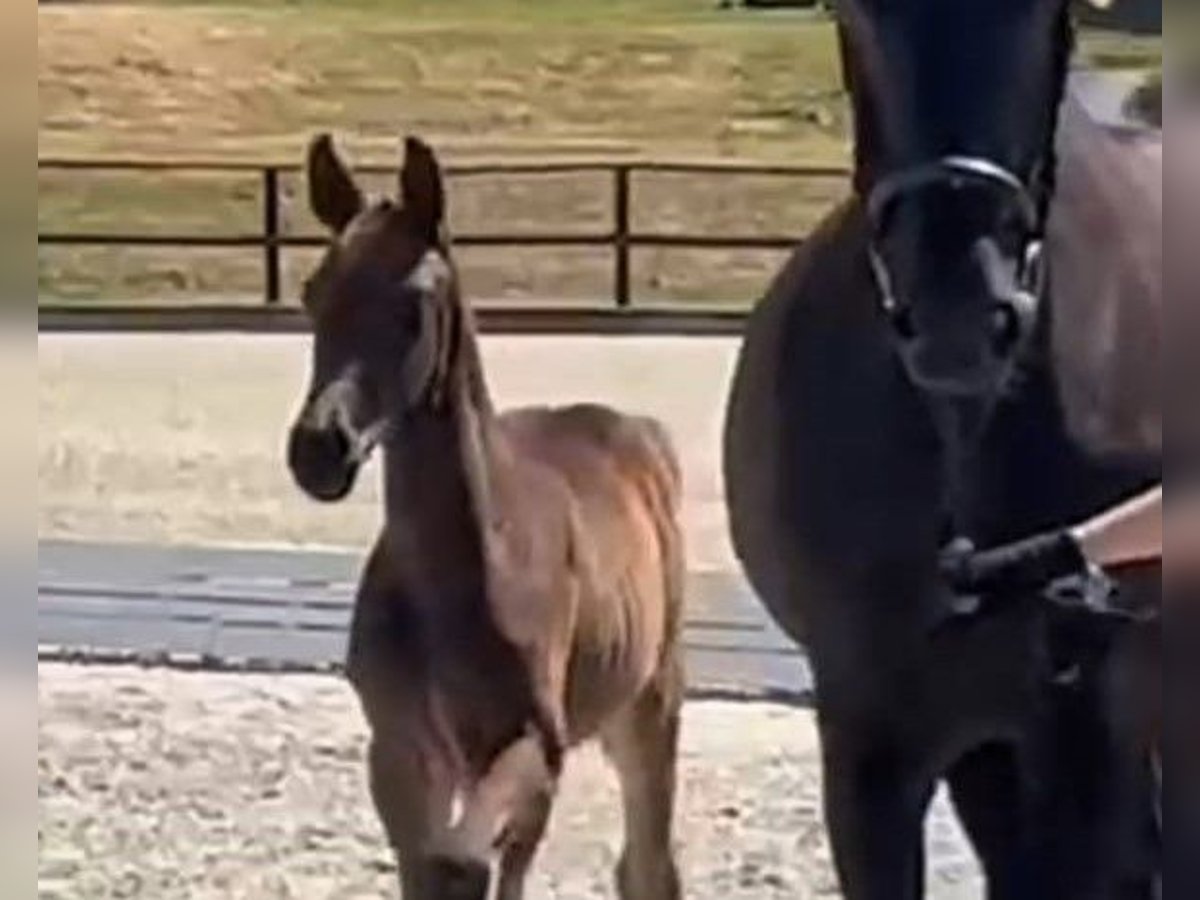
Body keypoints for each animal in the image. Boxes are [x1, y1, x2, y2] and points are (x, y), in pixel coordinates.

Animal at [285, 135, 686, 900]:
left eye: (414, 306)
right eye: (312, 293)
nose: (319, 449)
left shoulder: (533, 744)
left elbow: (467, 865)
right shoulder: (399, 744)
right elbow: (429, 866)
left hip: (650, 701)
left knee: (647, 862)